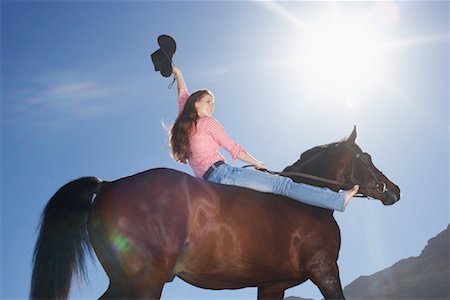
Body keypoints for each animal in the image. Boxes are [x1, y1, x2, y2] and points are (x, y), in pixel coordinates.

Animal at [29, 127, 400, 300]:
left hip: (123, 280)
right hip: (145, 280)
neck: (306, 203)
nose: (394, 190)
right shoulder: (325, 270)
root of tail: (107, 185)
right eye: (366, 158)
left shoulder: (271, 284)